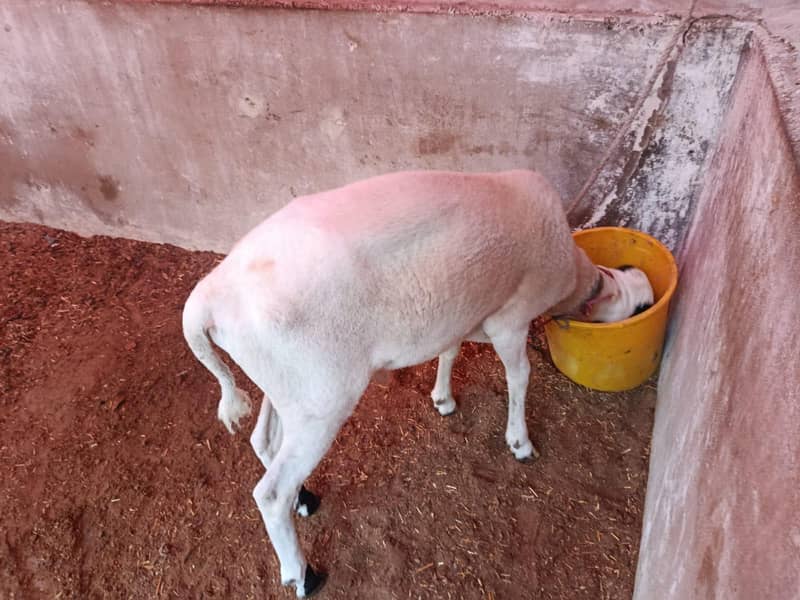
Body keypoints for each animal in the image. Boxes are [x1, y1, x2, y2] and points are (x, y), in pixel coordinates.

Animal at [181, 169, 654, 597]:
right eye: (641, 307)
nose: (637, 273)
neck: (574, 274)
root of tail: (205, 302)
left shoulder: (461, 310)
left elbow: (450, 350)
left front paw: (443, 398)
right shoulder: (510, 319)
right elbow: (520, 377)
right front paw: (519, 441)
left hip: (289, 386)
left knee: (263, 440)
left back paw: (304, 499)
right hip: (322, 397)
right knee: (270, 493)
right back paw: (302, 573)